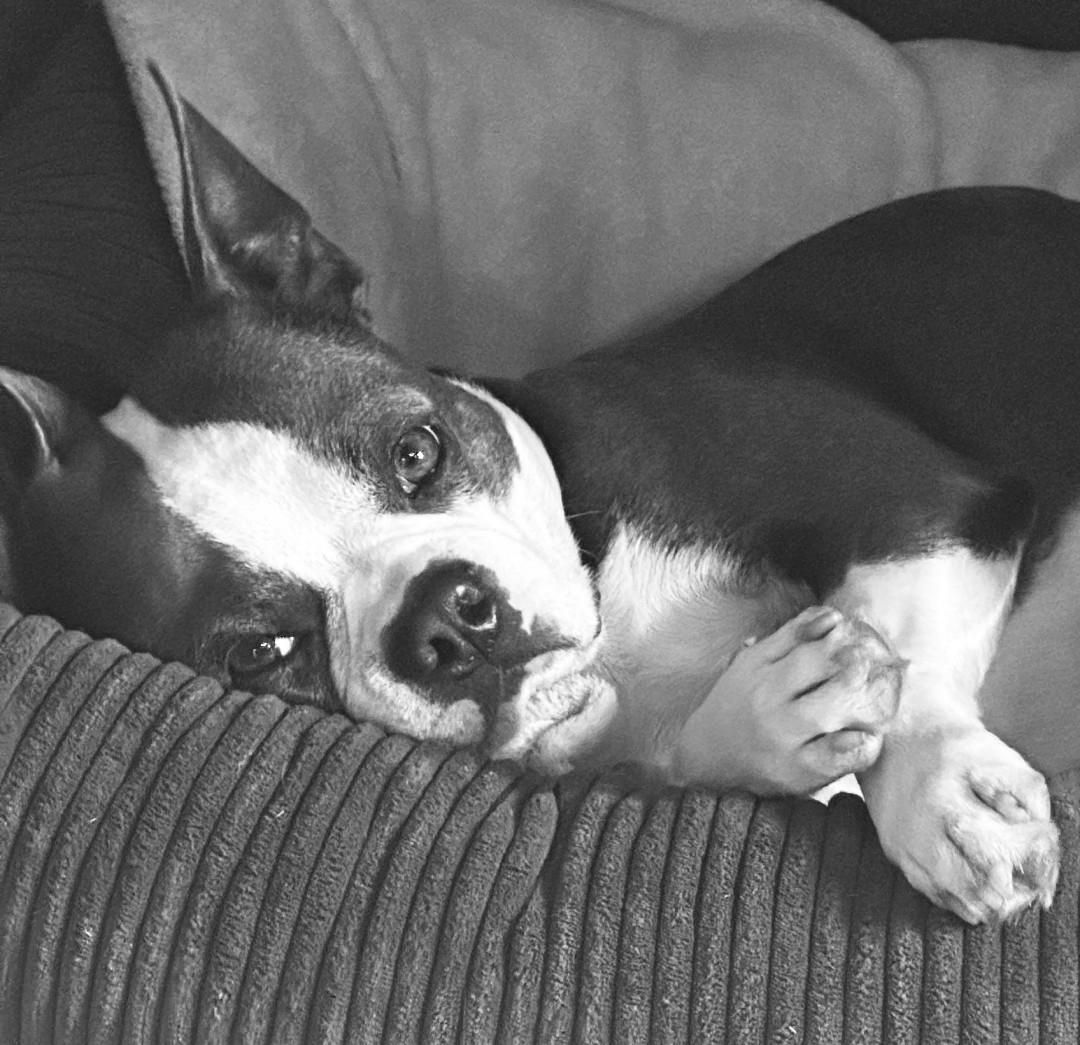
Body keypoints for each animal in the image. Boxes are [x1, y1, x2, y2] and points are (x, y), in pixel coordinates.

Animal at [0, 78, 1071, 925]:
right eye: (263, 653)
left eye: (417, 450)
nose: (442, 619)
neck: (614, 618)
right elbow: (654, 761)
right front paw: (763, 722)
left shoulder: (926, 499)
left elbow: (907, 646)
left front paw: (943, 794)